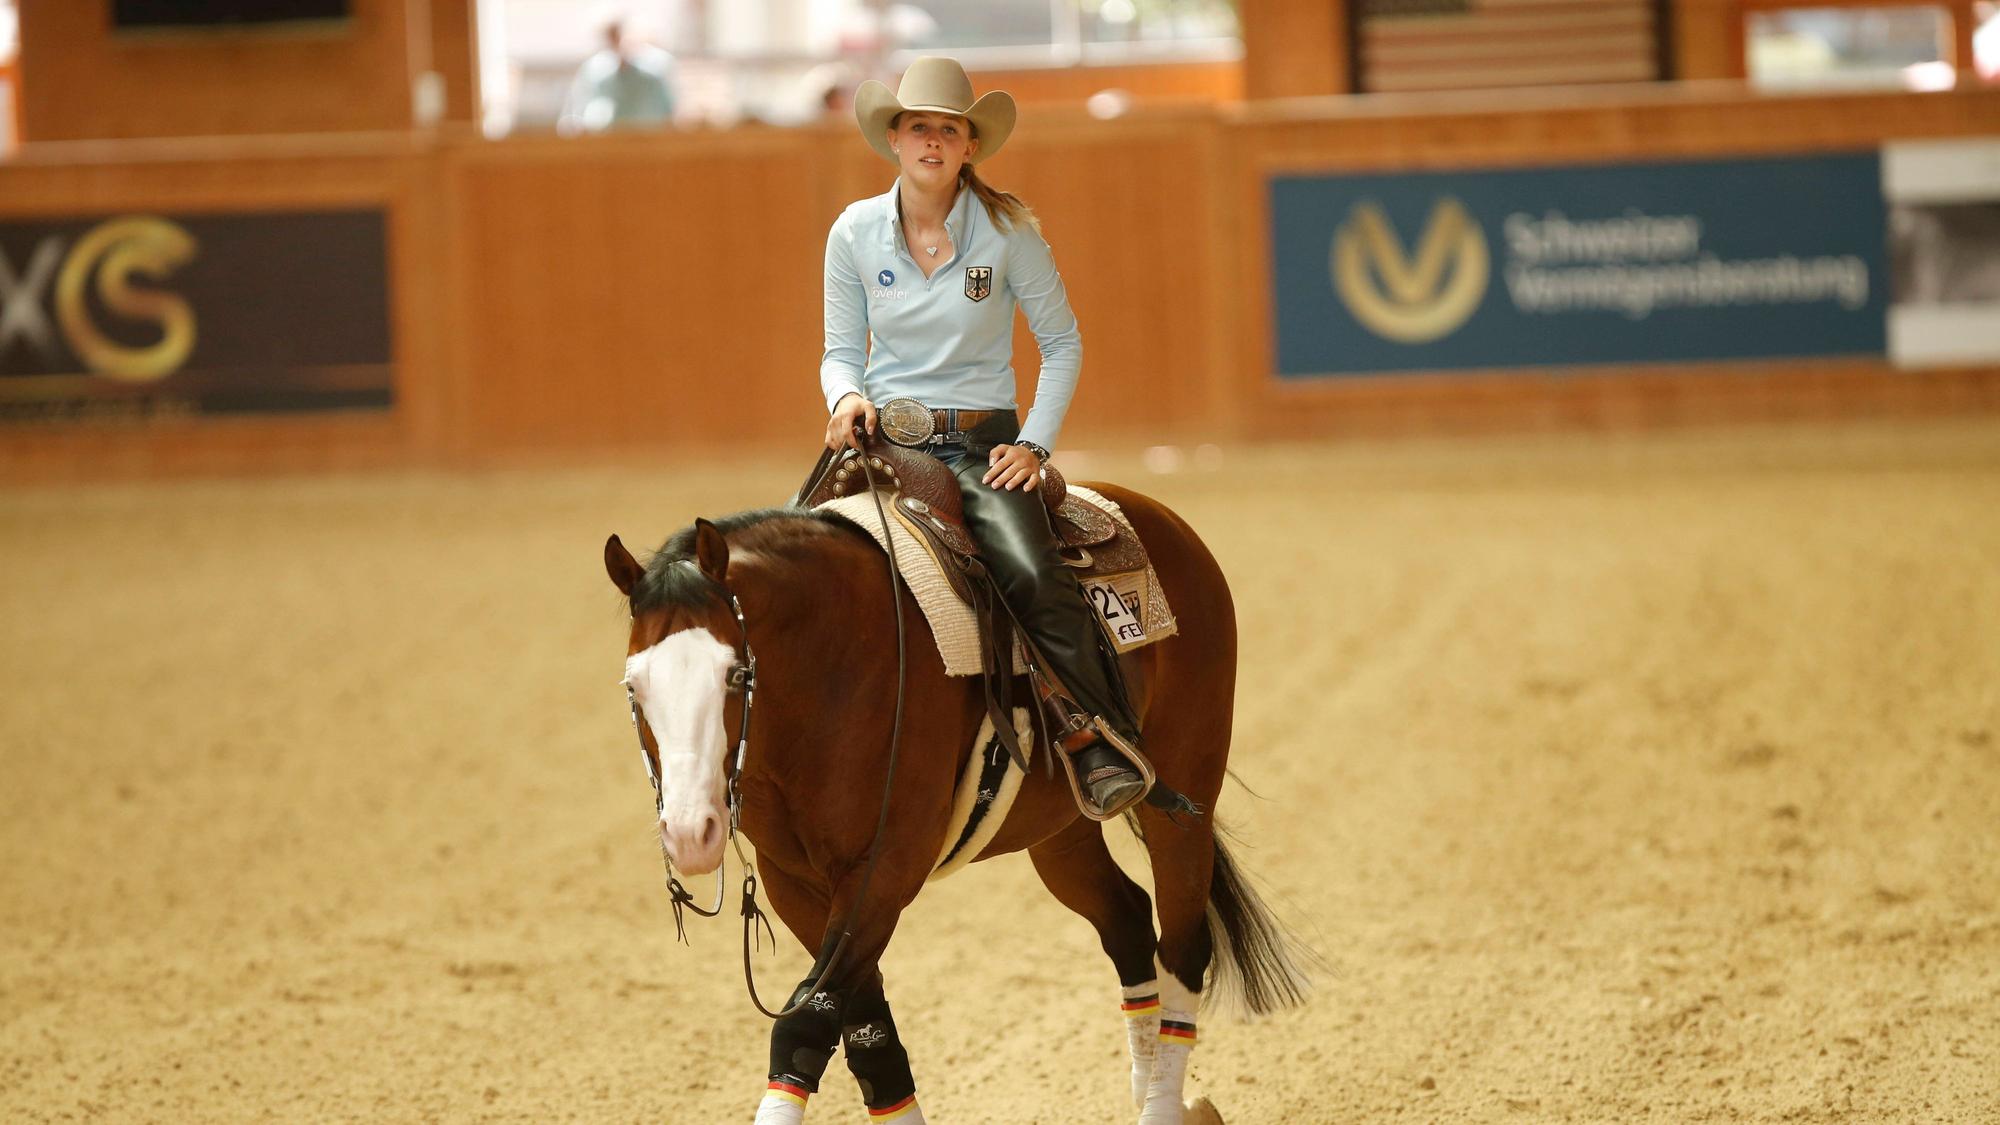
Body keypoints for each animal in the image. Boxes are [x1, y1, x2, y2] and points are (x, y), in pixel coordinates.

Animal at [603, 480, 1310, 1124]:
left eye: (736, 674)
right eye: (634, 685)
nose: (690, 833)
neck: (837, 660)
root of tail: (1155, 513)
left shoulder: (883, 871)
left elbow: (804, 1028)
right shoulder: (794, 884)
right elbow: (870, 1039)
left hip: (1183, 796)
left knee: (1183, 947)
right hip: (1060, 833)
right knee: (1129, 921)